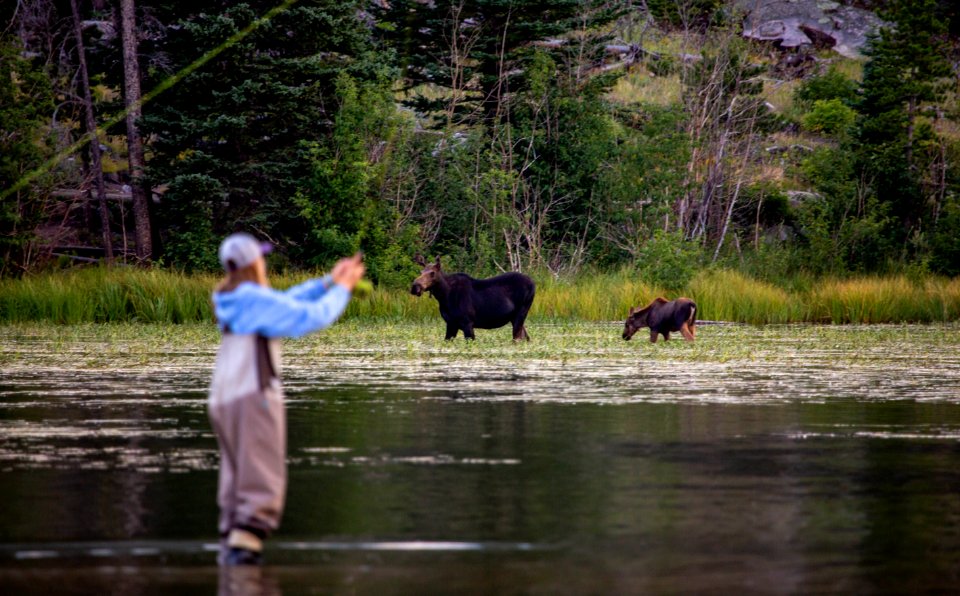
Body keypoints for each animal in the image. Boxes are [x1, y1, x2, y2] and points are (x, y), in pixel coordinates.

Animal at [408, 255, 536, 342]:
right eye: (421, 271)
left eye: (432, 273)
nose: (415, 287)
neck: (444, 296)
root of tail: (534, 283)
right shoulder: (451, 324)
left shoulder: (467, 323)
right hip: (515, 318)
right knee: (527, 338)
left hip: (521, 313)